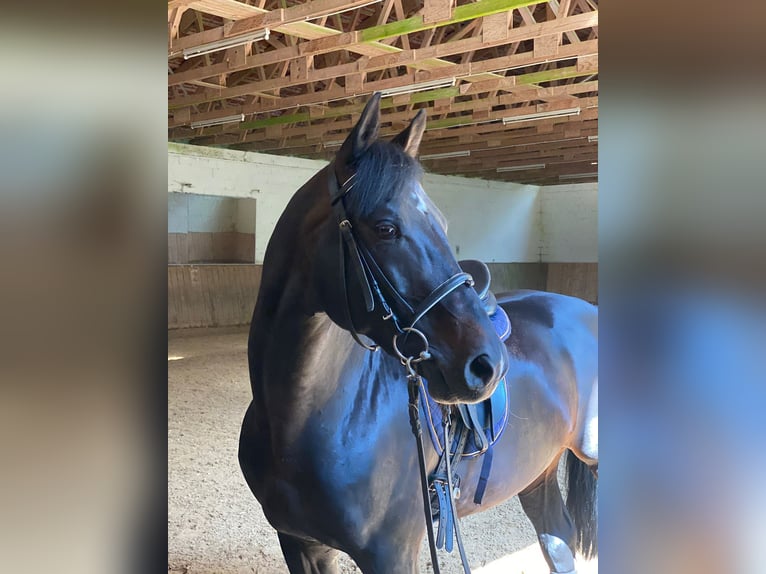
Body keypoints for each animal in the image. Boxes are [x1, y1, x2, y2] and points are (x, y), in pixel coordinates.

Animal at [240, 95, 600, 574]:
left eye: (442, 224)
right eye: (386, 228)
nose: (488, 365)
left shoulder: (392, 554)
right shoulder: (302, 545)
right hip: (536, 474)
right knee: (557, 538)